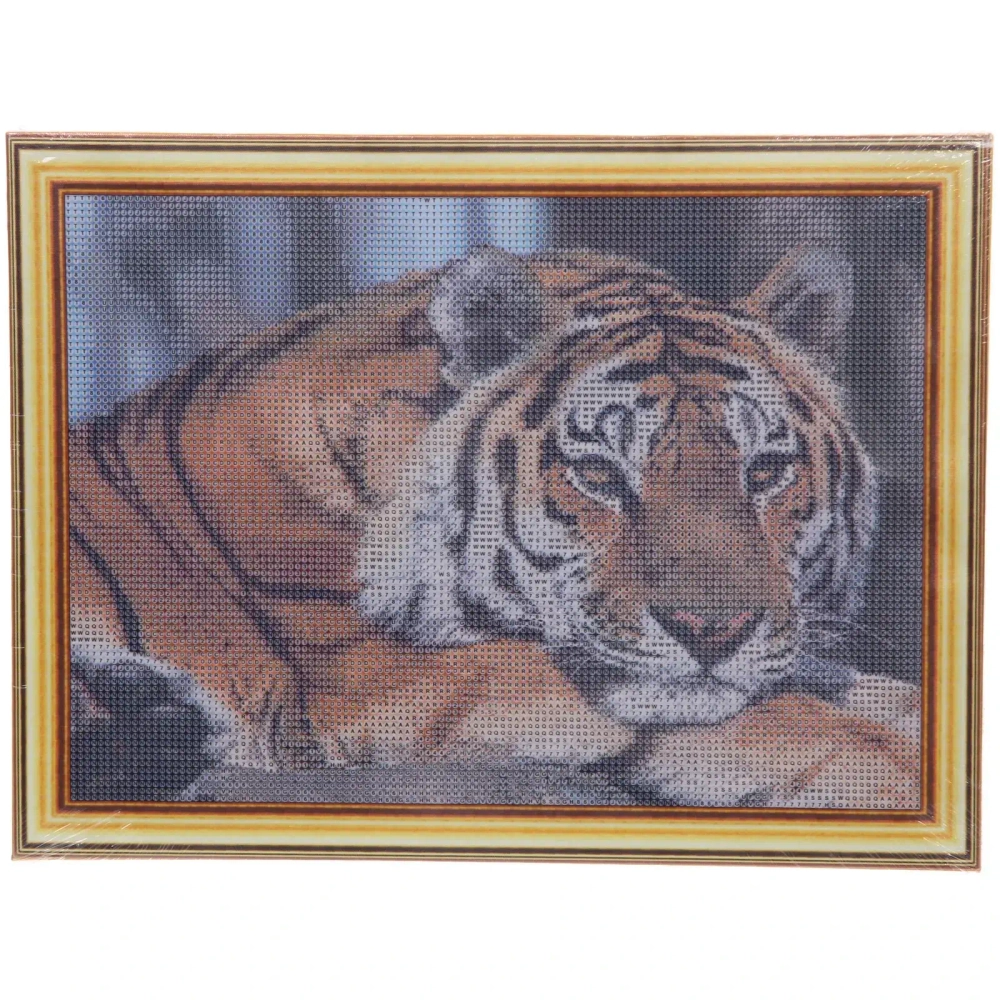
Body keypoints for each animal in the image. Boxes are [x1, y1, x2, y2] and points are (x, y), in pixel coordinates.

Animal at [69, 245, 922, 807]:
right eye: (599, 475)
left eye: (766, 471)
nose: (712, 633)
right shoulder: (382, 673)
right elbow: (787, 718)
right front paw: (899, 764)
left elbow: (844, 685)